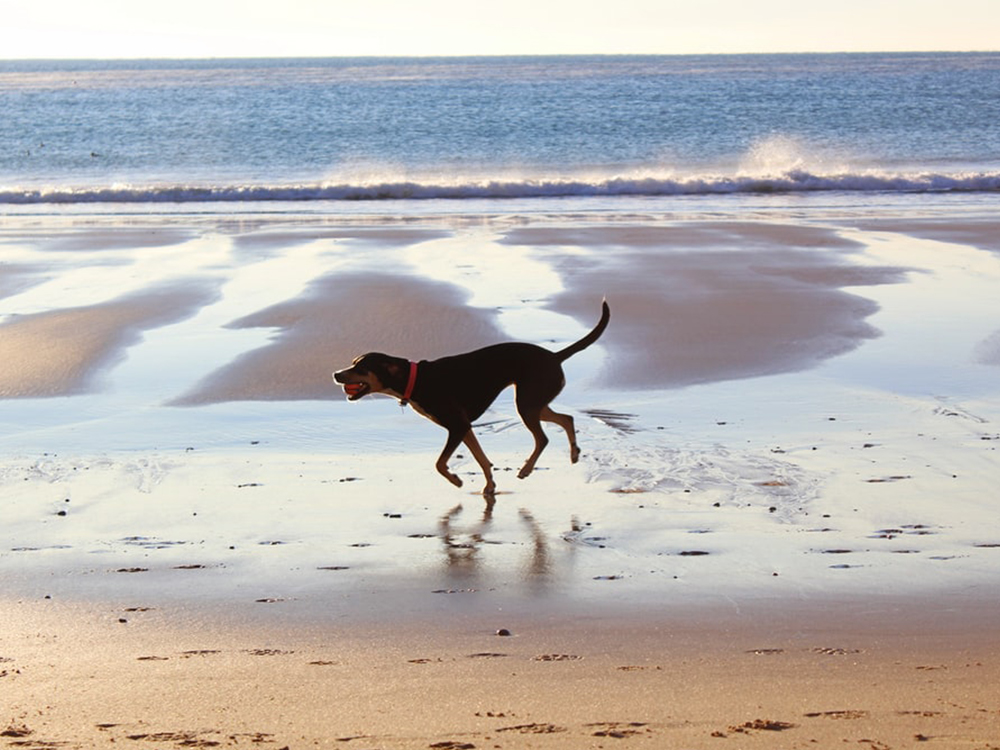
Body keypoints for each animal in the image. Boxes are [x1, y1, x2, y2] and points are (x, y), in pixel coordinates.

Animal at [334, 300, 608, 500]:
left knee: (543, 438)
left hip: (527, 403)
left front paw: (457, 480)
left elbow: (440, 463)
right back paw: (574, 453)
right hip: (534, 402)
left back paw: (526, 469)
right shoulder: (465, 427)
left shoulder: (457, 426)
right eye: (353, 362)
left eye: (361, 367)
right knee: (567, 418)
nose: (336, 374)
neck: (415, 379)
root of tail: (554, 356)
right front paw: (489, 486)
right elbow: (482, 459)